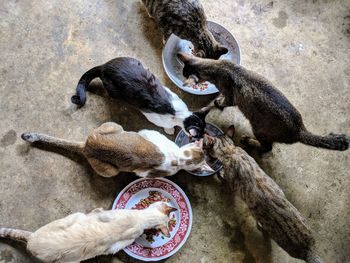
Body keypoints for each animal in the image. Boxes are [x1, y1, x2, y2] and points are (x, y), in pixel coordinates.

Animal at [69, 57, 209, 139]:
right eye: (198, 136)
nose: (202, 137)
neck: (178, 113)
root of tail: (104, 66)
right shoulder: (152, 116)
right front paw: (169, 129)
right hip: (114, 90)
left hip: (134, 61)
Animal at [201, 126, 324, 263]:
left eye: (205, 146)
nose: (202, 146)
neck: (230, 151)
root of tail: (308, 249)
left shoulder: (231, 182)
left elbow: (224, 177)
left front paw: (220, 172)